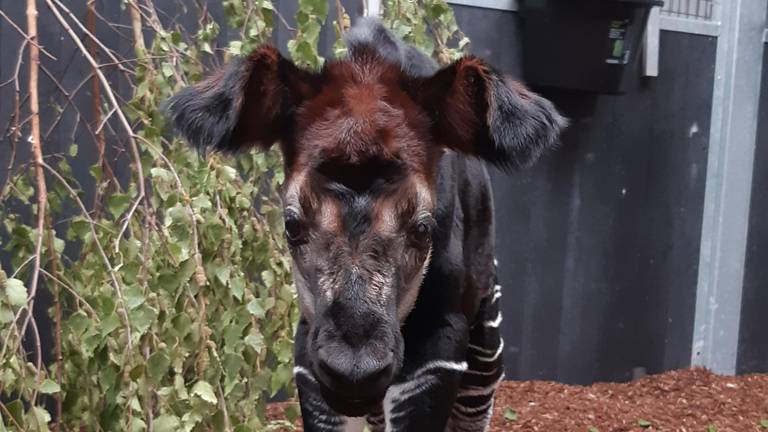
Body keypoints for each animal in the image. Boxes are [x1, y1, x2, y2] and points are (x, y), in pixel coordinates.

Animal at [166, 16, 564, 432]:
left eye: (423, 229)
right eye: (292, 224)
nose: (353, 375)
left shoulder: (440, 344)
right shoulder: (310, 347)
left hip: (485, 334)